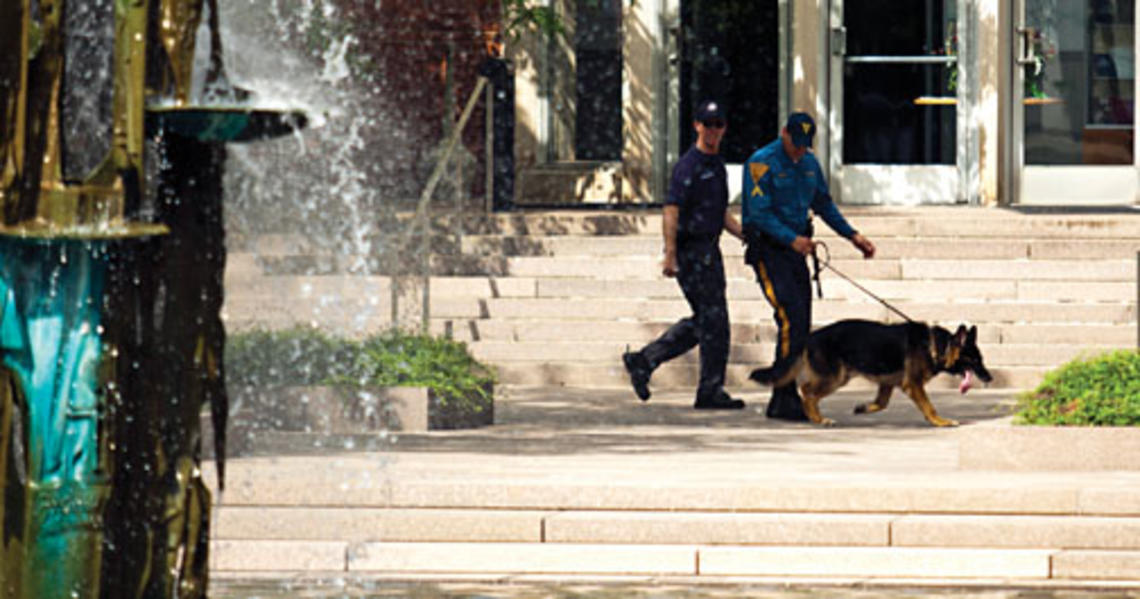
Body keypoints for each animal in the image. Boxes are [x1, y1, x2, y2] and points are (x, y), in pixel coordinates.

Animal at [747, 317, 989, 424]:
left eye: (981, 360)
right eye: (975, 360)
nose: (989, 378)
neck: (935, 345)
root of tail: (810, 336)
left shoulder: (888, 383)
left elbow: (881, 403)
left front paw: (863, 408)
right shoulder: (913, 385)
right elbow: (929, 406)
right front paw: (941, 422)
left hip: (839, 376)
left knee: (809, 391)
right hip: (835, 377)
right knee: (807, 391)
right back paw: (818, 418)